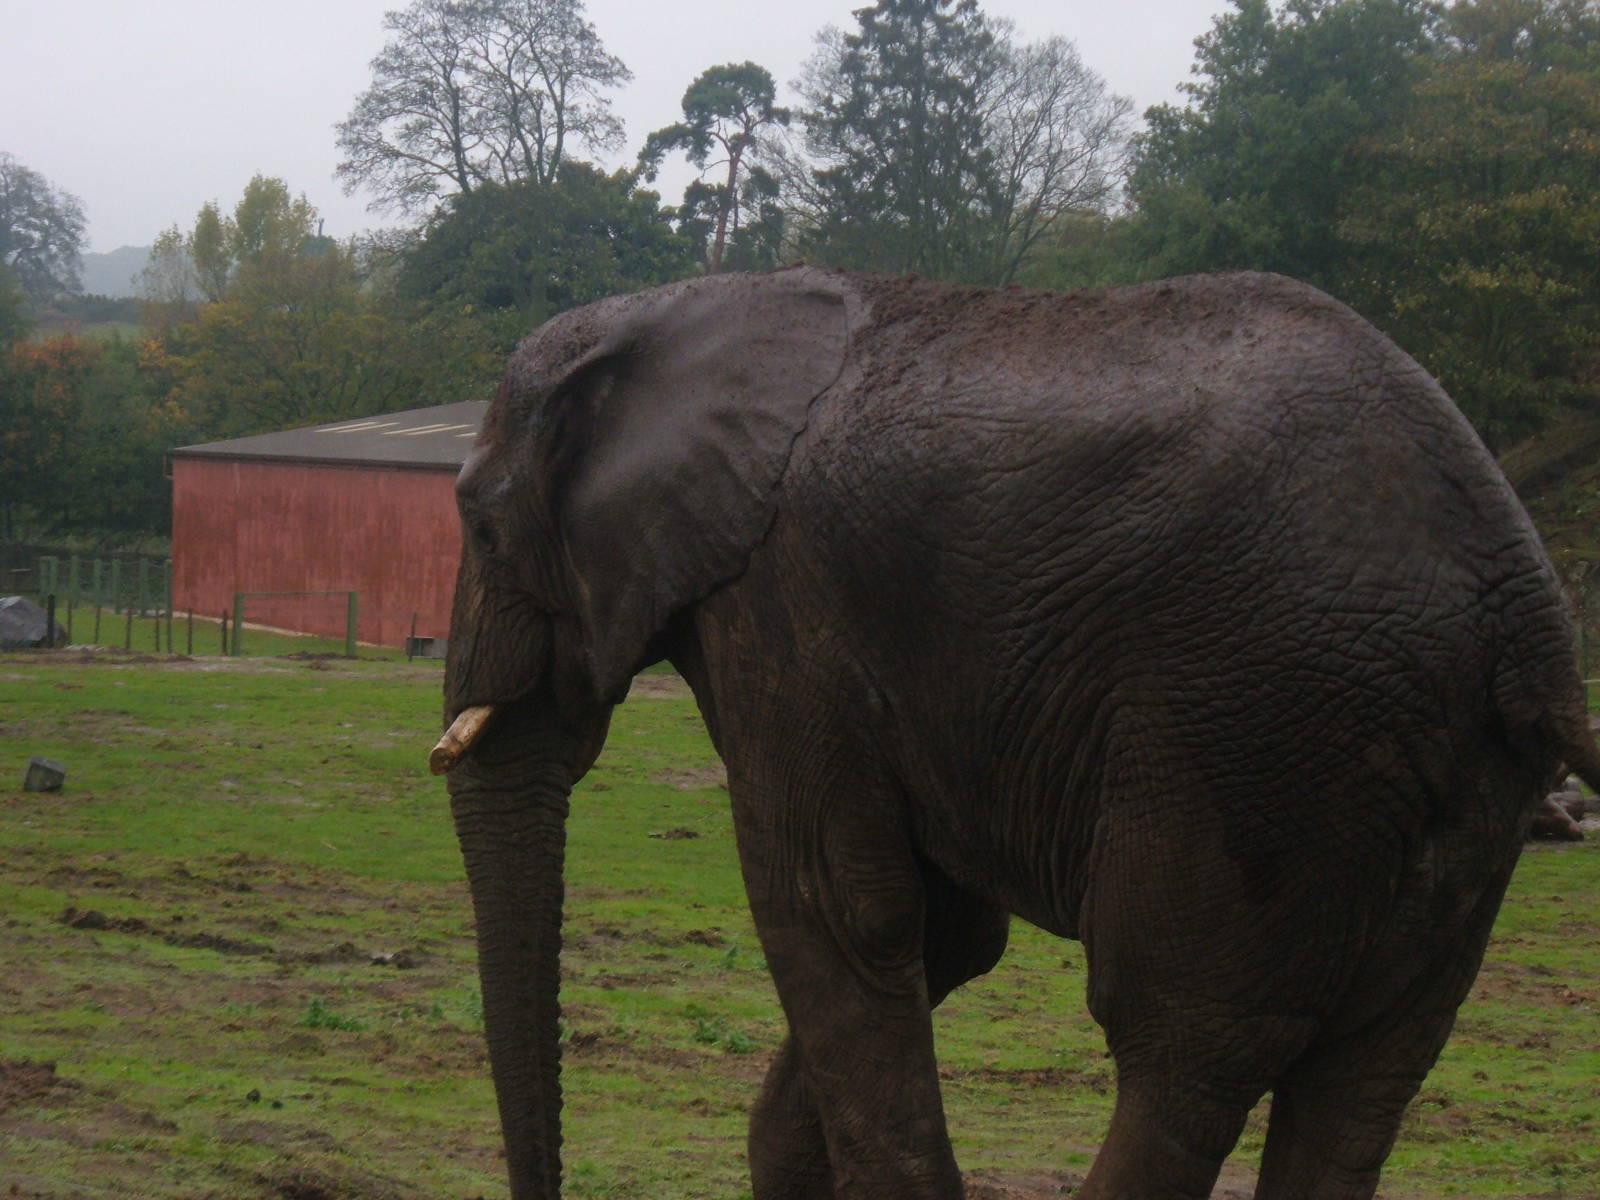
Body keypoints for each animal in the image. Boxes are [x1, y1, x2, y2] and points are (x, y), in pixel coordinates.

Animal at [436, 266, 1600, 1200]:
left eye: (480, 527)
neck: (678, 306)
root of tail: (1520, 603)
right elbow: (940, 932)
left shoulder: (783, 609)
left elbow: (833, 910)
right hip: (1446, 784)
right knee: (1369, 1073)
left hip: (1257, 733)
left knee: (1180, 1043)